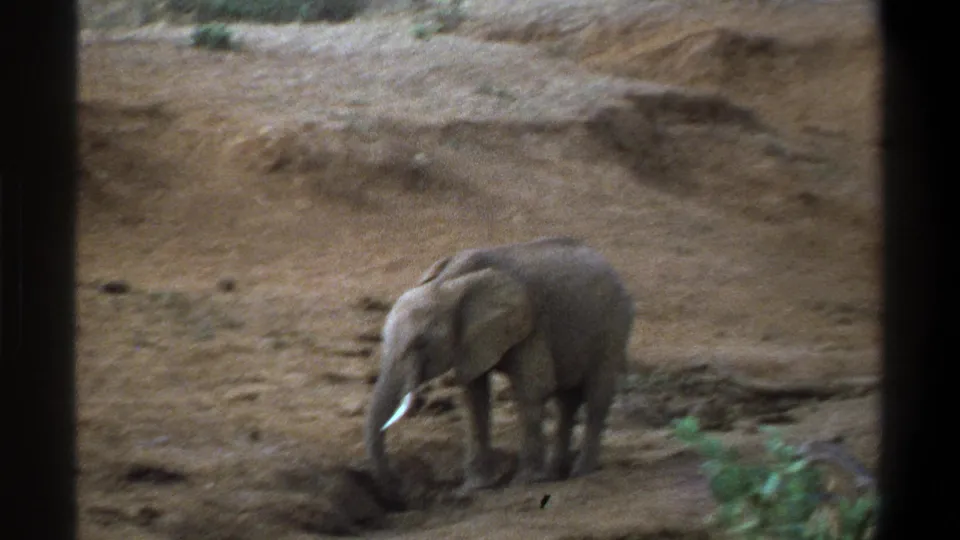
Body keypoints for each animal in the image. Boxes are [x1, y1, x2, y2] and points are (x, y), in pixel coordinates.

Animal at [363, 236, 635, 495]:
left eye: (421, 344)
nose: (401, 487)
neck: (448, 284)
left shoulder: (531, 323)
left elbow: (532, 389)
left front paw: (526, 481)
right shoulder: (469, 340)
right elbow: (474, 397)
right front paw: (475, 487)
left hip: (614, 326)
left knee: (596, 396)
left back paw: (580, 471)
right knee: (566, 401)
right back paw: (557, 472)